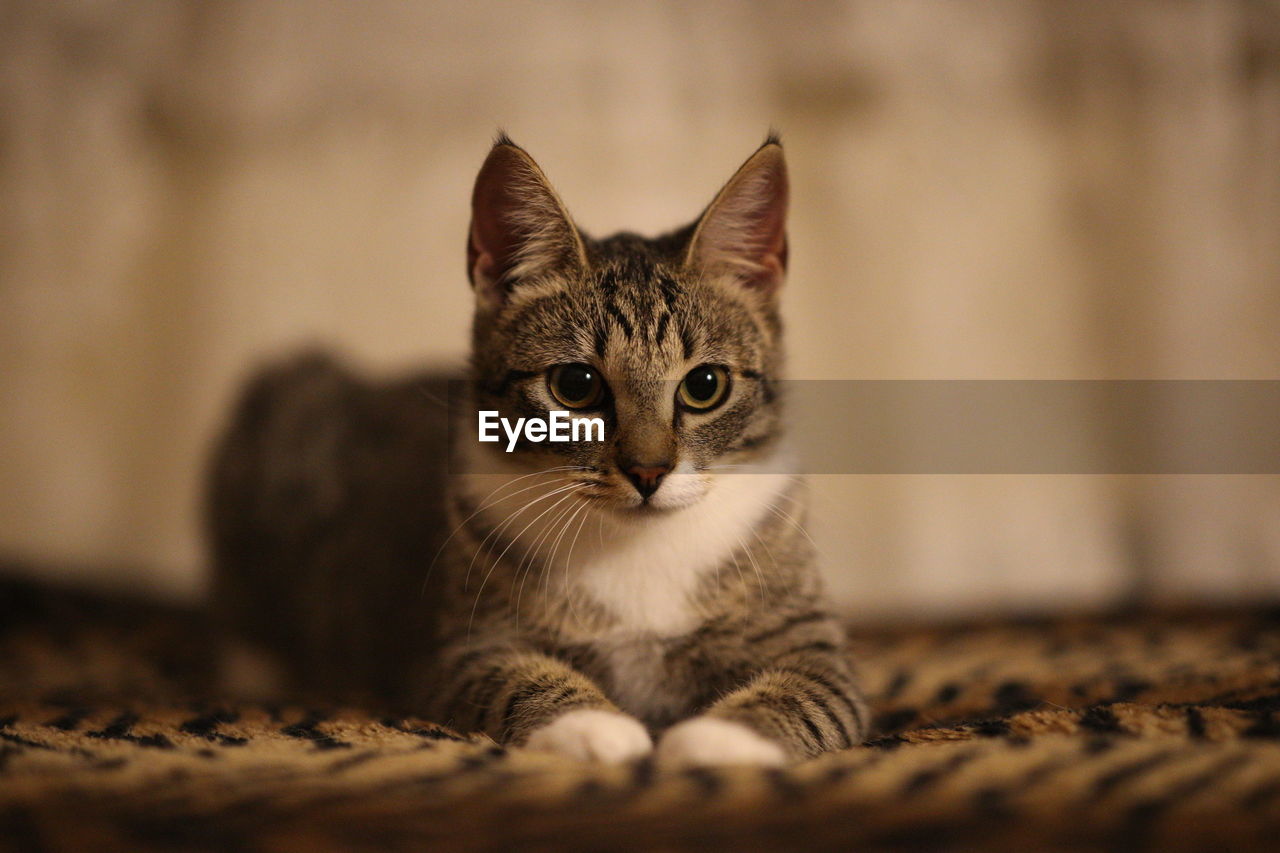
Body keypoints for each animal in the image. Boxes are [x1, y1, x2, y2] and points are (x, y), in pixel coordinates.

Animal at [209, 134, 870, 763]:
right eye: (575, 386)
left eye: (705, 385)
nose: (648, 471)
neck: (636, 548)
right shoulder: (465, 648)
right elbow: (518, 677)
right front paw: (592, 725)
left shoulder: (814, 648)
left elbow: (806, 693)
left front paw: (720, 739)